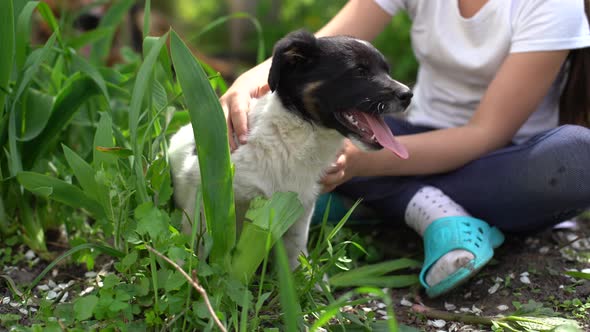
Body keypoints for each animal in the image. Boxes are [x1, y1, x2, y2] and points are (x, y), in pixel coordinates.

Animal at [169, 29, 414, 268]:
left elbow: (295, 255)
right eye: (359, 71)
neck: (293, 141)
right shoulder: (204, 198)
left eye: (387, 71)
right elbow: (194, 248)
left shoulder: (299, 208)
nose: (408, 95)